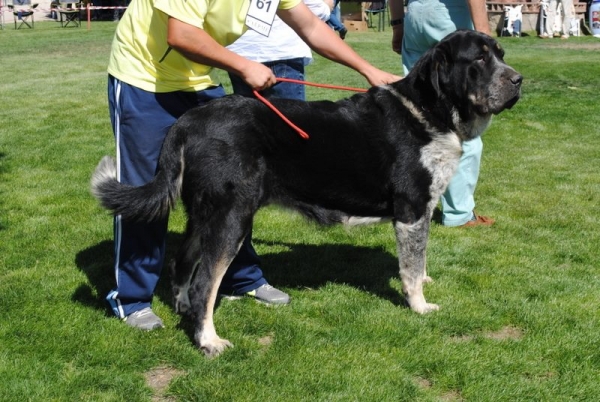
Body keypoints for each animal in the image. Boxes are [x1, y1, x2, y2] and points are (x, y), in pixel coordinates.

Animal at [92, 32, 520, 358]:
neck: (429, 111)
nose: (517, 80)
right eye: (479, 59)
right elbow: (411, 269)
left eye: (500, 55)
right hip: (232, 217)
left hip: (205, 216)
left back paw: (182, 308)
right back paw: (209, 340)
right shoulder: (412, 211)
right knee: (204, 284)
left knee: (183, 262)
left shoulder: (422, 213)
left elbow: (420, 259)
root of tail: (188, 121)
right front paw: (420, 306)